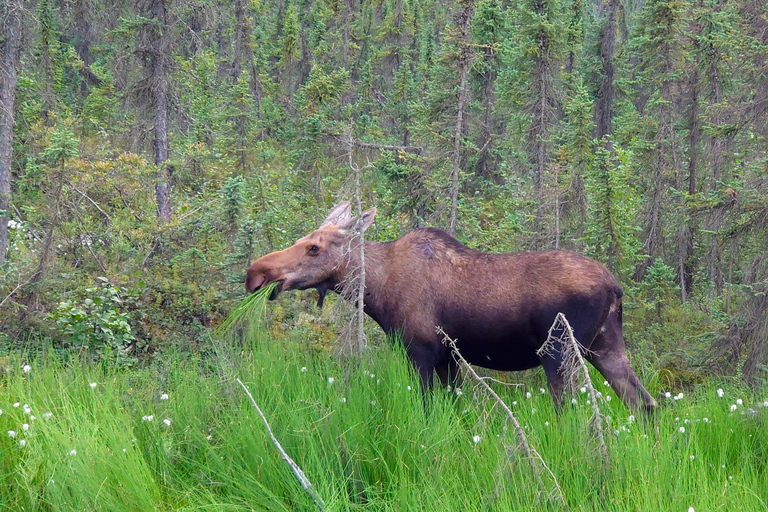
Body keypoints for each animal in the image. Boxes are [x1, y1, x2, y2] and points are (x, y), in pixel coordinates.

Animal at [246, 201, 656, 412]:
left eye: (314, 247)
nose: (255, 273)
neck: (376, 291)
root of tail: (615, 287)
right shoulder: (450, 359)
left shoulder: (422, 351)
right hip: (605, 346)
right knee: (646, 404)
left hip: (560, 352)